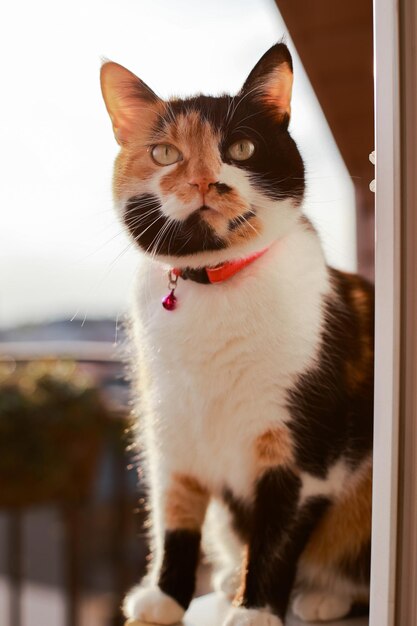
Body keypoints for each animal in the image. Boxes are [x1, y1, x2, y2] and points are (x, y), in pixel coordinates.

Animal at [101, 45, 374, 624]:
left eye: (241, 148)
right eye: (164, 153)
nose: (205, 181)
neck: (212, 284)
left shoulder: (303, 453)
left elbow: (275, 534)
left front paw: (256, 610)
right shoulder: (171, 433)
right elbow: (176, 518)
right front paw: (164, 597)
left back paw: (320, 595)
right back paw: (231, 579)